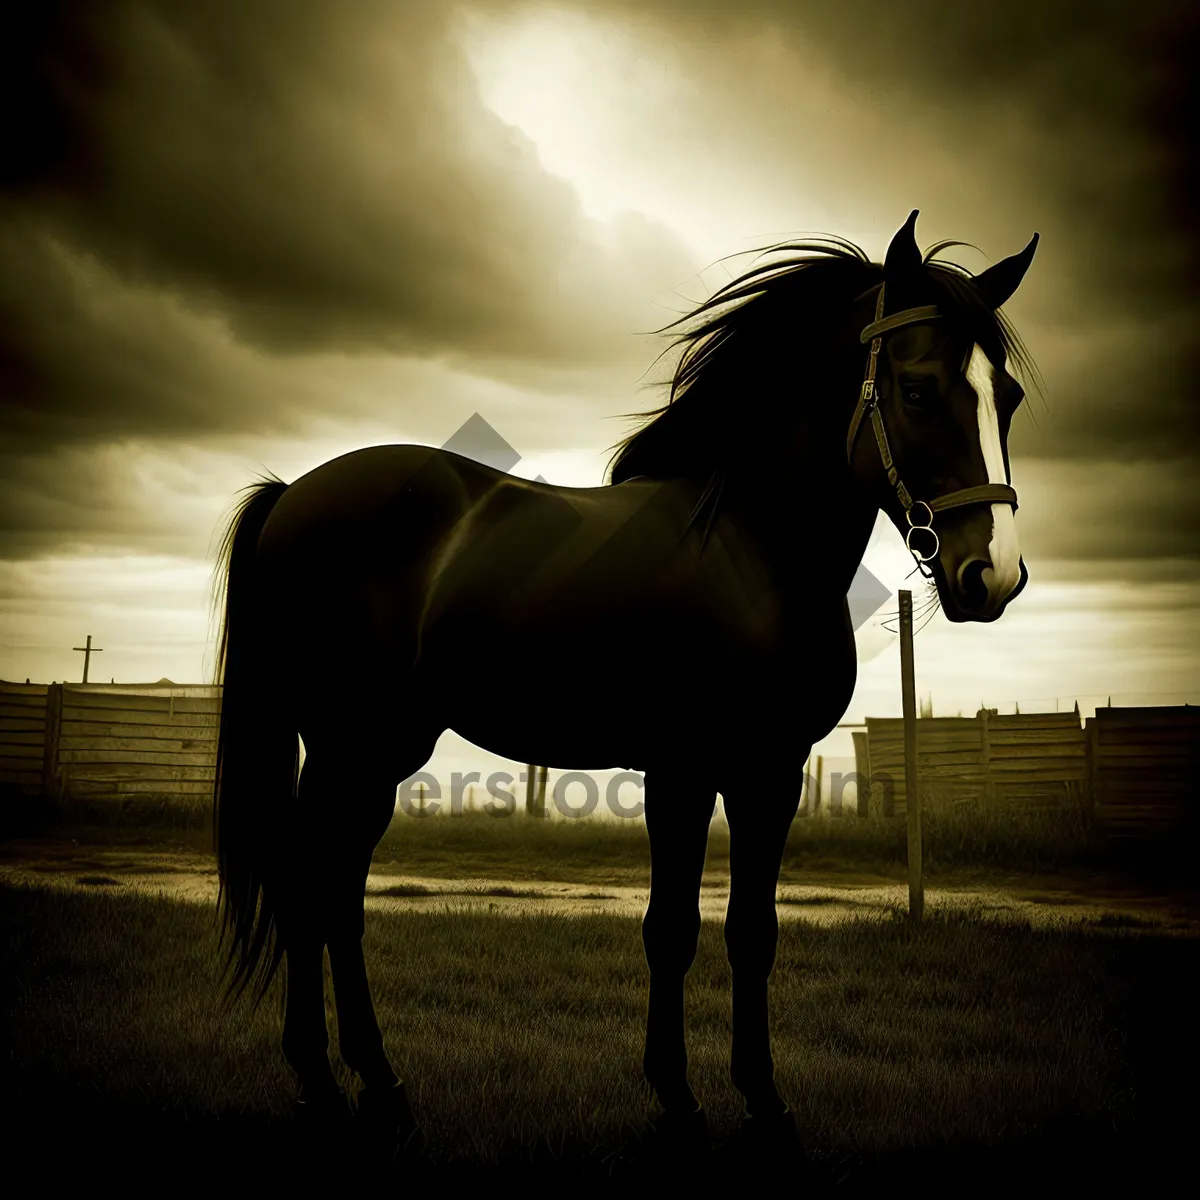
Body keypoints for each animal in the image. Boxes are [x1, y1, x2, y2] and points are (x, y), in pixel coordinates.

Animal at [213, 213, 1041, 1142]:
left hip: (380, 753)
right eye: (921, 389)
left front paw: (764, 1103)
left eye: (1006, 399)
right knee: (306, 887)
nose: (992, 576)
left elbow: (753, 931)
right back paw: (323, 1083)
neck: (751, 552)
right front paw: (678, 1101)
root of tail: (293, 492)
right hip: (347, 746)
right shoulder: (680, 771)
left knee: (337, 893)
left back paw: (377, 1084)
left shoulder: (772, 773)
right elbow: (671, 929)